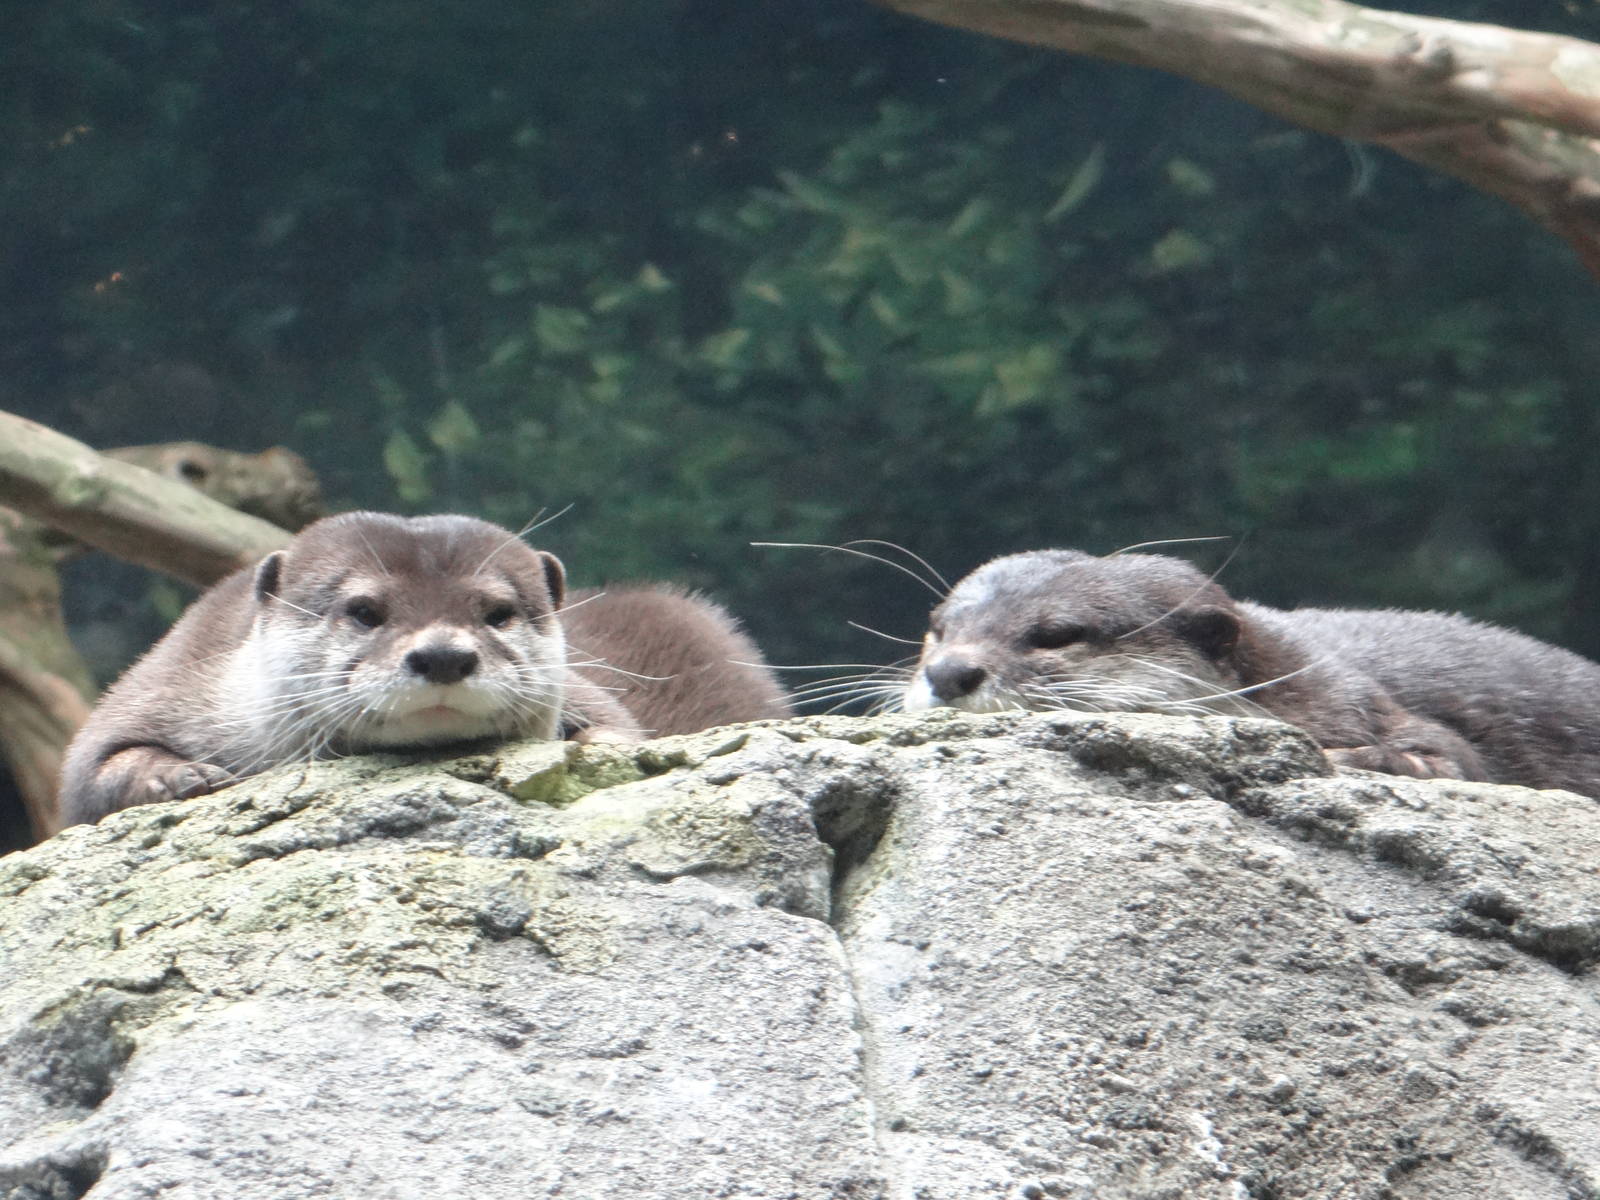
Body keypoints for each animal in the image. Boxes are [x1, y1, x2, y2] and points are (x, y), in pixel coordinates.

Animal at [59, 512, 790, 826]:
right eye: (364, 610)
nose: (443, 654)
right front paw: (179, 775)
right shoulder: (174, 673)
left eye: (497, 612)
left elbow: (616, 724)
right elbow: (93, 771)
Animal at [902, 548, 1600, 796]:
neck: (1286, 685)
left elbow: (1450, 760)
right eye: (938, 629)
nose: (949, 673)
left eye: (1055, 635)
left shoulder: (1366, 703)